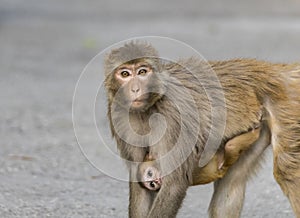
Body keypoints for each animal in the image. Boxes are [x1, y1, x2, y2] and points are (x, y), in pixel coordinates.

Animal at [104, 41, 300, 217]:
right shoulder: (119, 116)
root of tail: (272, 70)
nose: (136, 89)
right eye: (125, 74)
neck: (147, 110)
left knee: (287, 171)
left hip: (286, 103)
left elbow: (174, 183)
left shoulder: (173, 116)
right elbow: (138, 181)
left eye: (142, 72)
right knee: (232, 180)